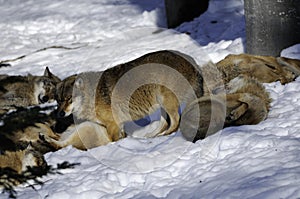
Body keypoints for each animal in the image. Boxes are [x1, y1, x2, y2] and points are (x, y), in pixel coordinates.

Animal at [54, 50, 204, 142]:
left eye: (68, 99)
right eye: (58, 101)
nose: (60, 114)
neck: (92, 96)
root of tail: (192, 62)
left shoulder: (113, 125)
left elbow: (113, 140)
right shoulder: (119, 125)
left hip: (165, 100)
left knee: (175, 121)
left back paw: (163, 135)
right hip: (159, 105)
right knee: (165, 122)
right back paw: (153, 136)